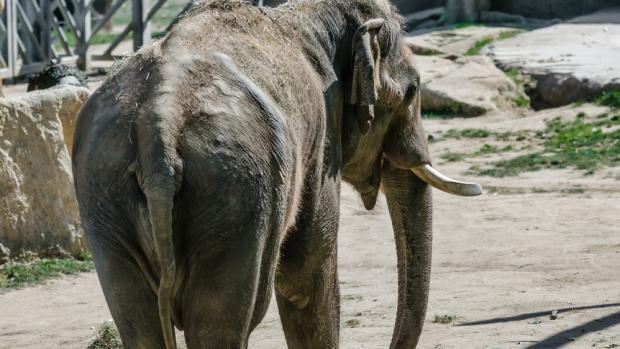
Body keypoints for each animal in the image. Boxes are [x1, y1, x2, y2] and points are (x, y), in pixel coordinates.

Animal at [71, 0, 480, 348]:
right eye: (412, 92)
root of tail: (159, 126)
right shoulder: (320, 144)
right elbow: (306, 274)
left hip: (104, 194)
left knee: (139, 321)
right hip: (236, 193)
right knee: (224, 321)